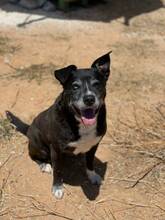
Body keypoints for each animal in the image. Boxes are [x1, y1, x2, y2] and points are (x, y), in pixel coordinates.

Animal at [6, 51, 112, 199]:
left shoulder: (93, 145)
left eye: (97, 84)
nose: (89, 99)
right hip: (40, 147)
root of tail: (29, 128)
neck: (80, 123)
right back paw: (44, 165)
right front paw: (57, 187)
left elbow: (90, 163)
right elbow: (58, 170)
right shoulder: (56, 150)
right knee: (34, 156)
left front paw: (92, 176)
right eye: (75, 86)